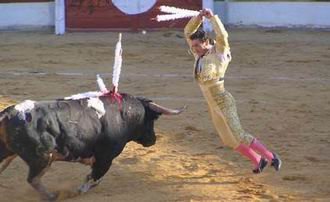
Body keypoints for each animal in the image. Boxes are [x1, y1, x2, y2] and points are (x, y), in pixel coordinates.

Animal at [0, 92, 186, 201]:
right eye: (153, 119)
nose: (152, 140)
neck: (123, 114)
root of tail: (8, 113)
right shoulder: (105, 158)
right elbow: (94, 179)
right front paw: (77, 192)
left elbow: (95, 178)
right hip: (42, 158)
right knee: (34, 179)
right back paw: (53, 196)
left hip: (9, 154)